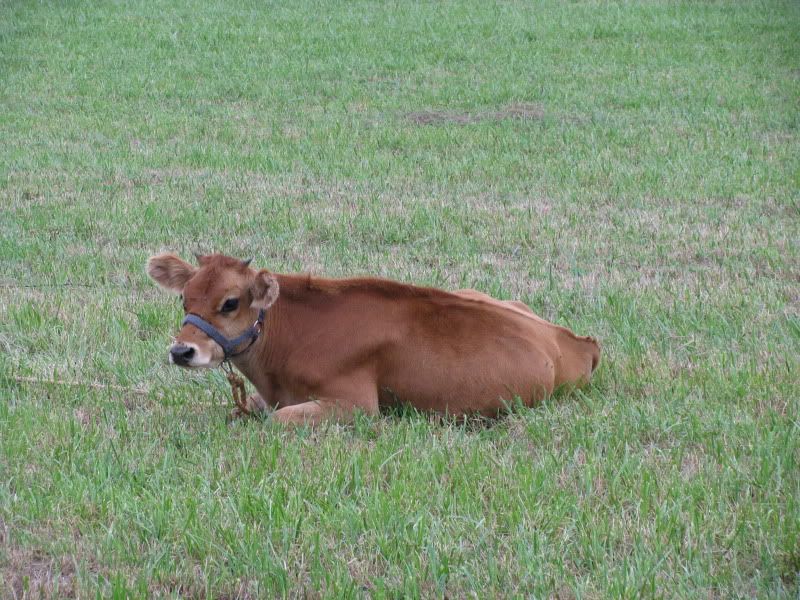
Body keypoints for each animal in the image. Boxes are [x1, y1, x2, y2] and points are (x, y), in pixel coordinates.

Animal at [147, 253, 600, 425]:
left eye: (230, 303)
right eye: (185, 298)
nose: (182, 350)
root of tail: (578, 341)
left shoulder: (356, 404)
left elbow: (278, 419)